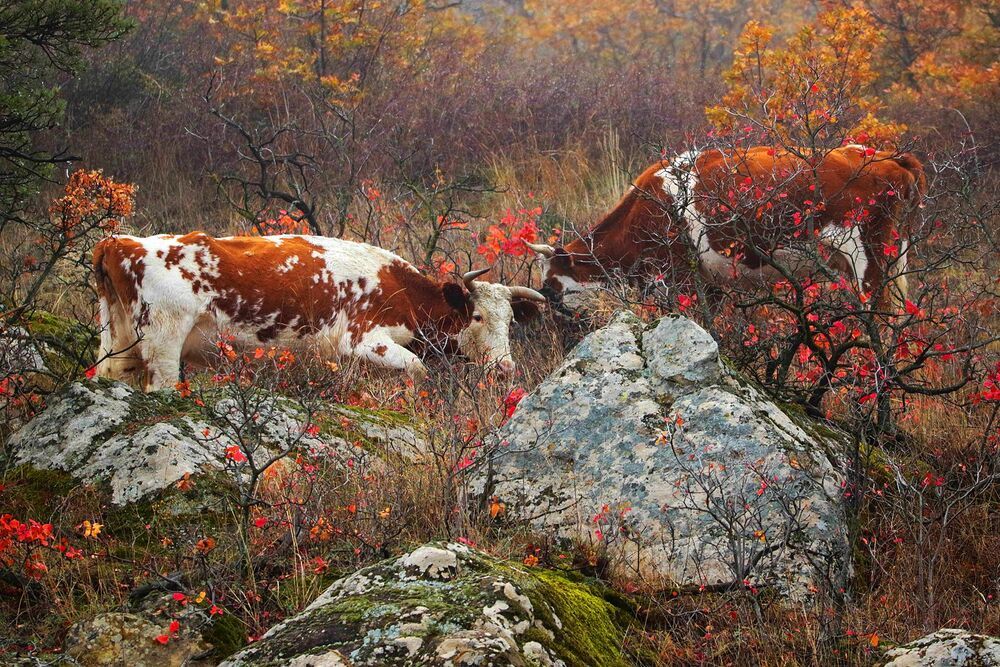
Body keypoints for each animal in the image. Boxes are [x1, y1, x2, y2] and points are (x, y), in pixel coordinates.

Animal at [93, 233, 546, 391]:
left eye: (510, 320)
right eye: (477, 317)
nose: (505, 368)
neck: (399, 288)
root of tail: (121, 241)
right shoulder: (363, 341)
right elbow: (417, 369)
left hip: (120, 348)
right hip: (163, 348)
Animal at [527, 145, 927, 310]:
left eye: (550, 285)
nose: (550, 306)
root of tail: (888, 157)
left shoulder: (676, 276)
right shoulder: (710, 282)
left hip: (868, 258)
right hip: (894, 258)